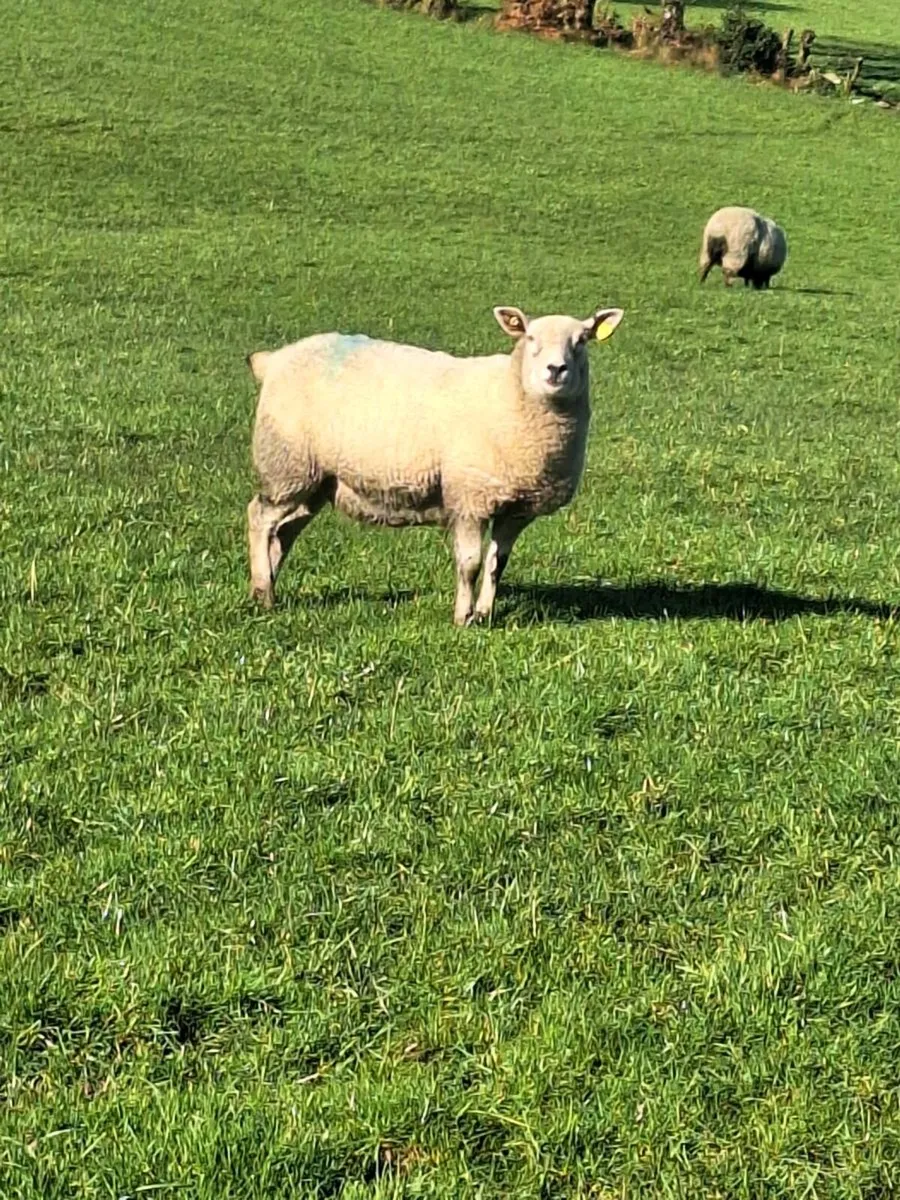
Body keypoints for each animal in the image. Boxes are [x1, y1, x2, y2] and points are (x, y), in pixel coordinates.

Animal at [245, 303, 625, 625]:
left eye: (582, 340)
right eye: (530, 337)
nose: (556, 370)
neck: (509, 393)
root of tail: (274, 360)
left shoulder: (518, 509)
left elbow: (497, 564)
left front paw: (485, 614)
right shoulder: (471, 497)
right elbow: (470, 564)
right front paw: (463, 618)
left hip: (314, 480)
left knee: (285, 530)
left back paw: (268, 585)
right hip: (286, 464)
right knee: (259, 517)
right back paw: (263, 593)